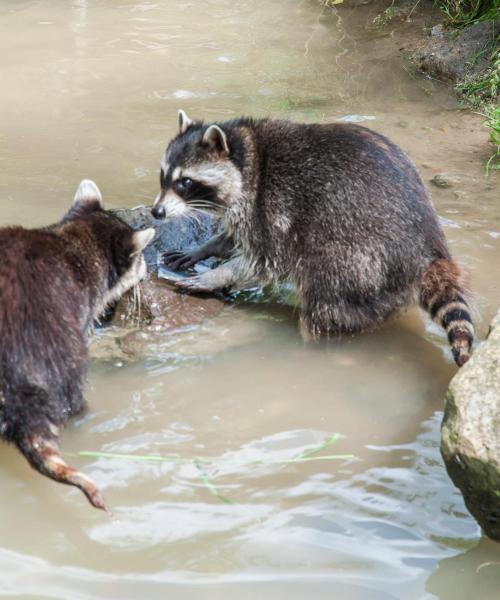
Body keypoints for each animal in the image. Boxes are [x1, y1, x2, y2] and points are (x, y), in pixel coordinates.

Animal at [150, 110, 474, 368]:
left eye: (185, 182)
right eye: (163, 175)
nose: (157, 212)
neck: (248, 155)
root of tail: (430, 252)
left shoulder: (268, 208)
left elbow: (265, 261)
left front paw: (218, 275)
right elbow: (233, 236)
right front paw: (205, 248)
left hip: (359, 260)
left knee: (324, 299)